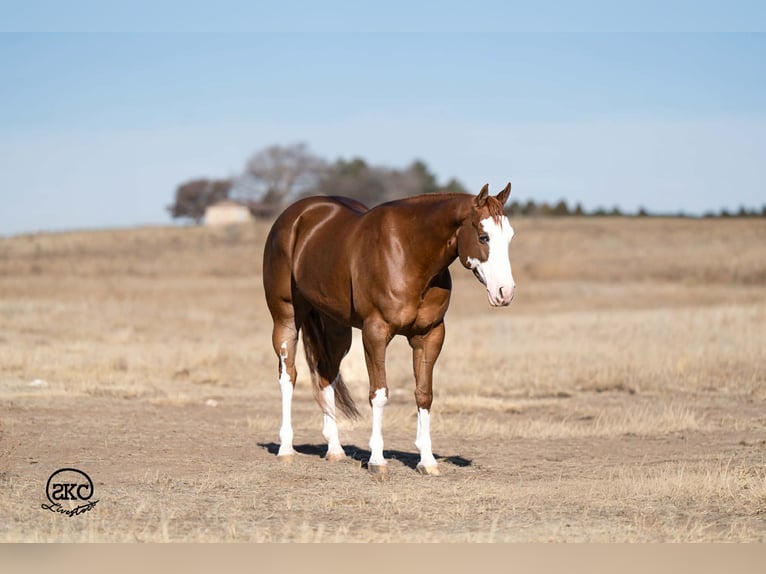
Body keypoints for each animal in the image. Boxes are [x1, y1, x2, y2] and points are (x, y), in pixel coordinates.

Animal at [262, 182, 516, 476]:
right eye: (484, 237)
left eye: (509, 237)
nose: (505, 292)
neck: (410, 254)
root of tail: (294, 217)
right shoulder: (375, 333)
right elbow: (379, 394)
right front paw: (377, 460)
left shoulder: (430, 335)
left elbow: (424, 394)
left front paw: (427, 461)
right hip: (286, 319)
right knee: (288, 376)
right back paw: (285, 449)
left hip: (336, 329)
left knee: (326, 375)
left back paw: (335, 450)